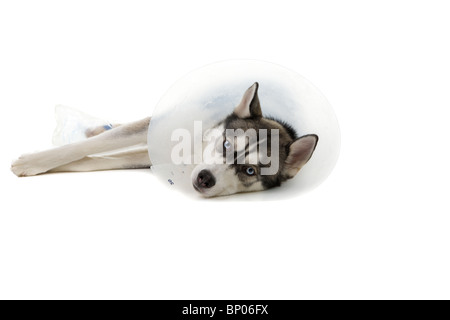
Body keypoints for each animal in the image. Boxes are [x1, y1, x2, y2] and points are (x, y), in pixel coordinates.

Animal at [11, 82, 320, 198]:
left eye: (250, 171)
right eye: (226, 144)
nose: (205, 178)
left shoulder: (154, 156)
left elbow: (95, 160)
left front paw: (55, 167)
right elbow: (95, 146)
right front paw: (32, 162)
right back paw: (98, 128)